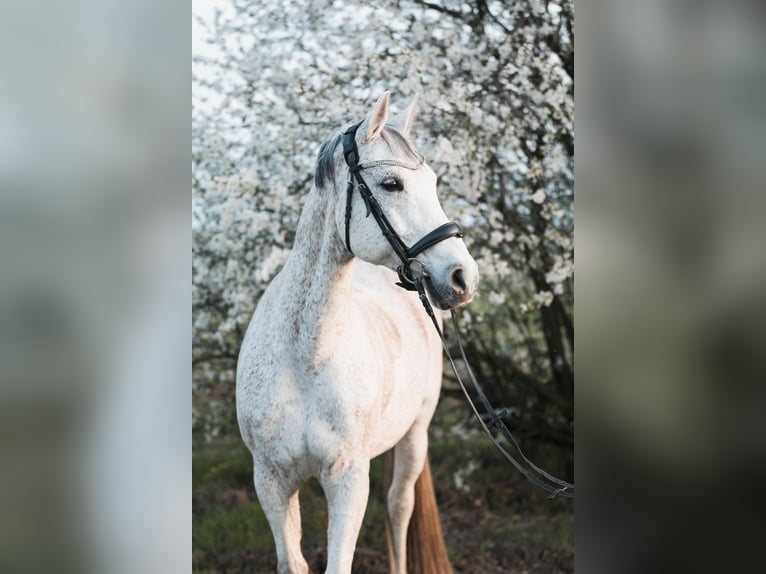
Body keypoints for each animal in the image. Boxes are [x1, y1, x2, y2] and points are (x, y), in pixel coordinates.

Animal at [237, 94, 480, 574]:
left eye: (433, 182)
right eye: (391, 184)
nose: (463, 277)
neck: (304, 358)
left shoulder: (348, 480)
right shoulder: (271, 484)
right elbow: (293, 562)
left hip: (415, 434)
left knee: (399, 508)